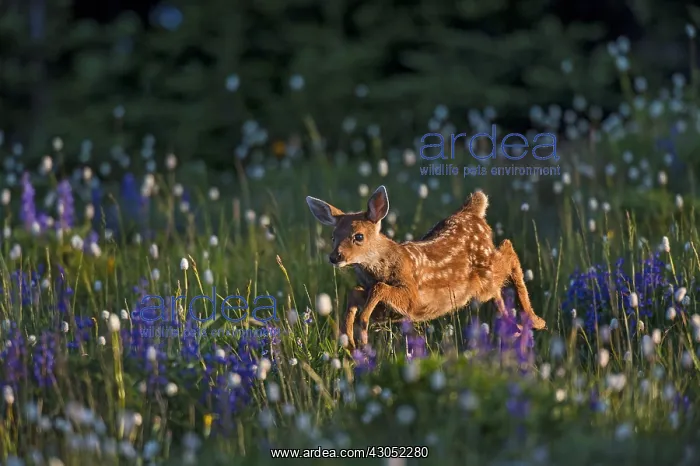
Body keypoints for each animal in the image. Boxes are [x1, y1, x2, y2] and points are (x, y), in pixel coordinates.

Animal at [305, 185, 547, 349]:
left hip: (486, 266)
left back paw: (535, 321)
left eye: (359, 236)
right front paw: (350, 340)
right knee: (498, 289)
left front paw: (362, 331)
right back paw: (515, 329)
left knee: (509, 250)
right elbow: (356, 292)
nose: (335, 257)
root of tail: (472, 210)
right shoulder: (388, 312)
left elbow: (379, 288)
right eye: (333, 236)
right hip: (484, 285)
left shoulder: (413, 295)